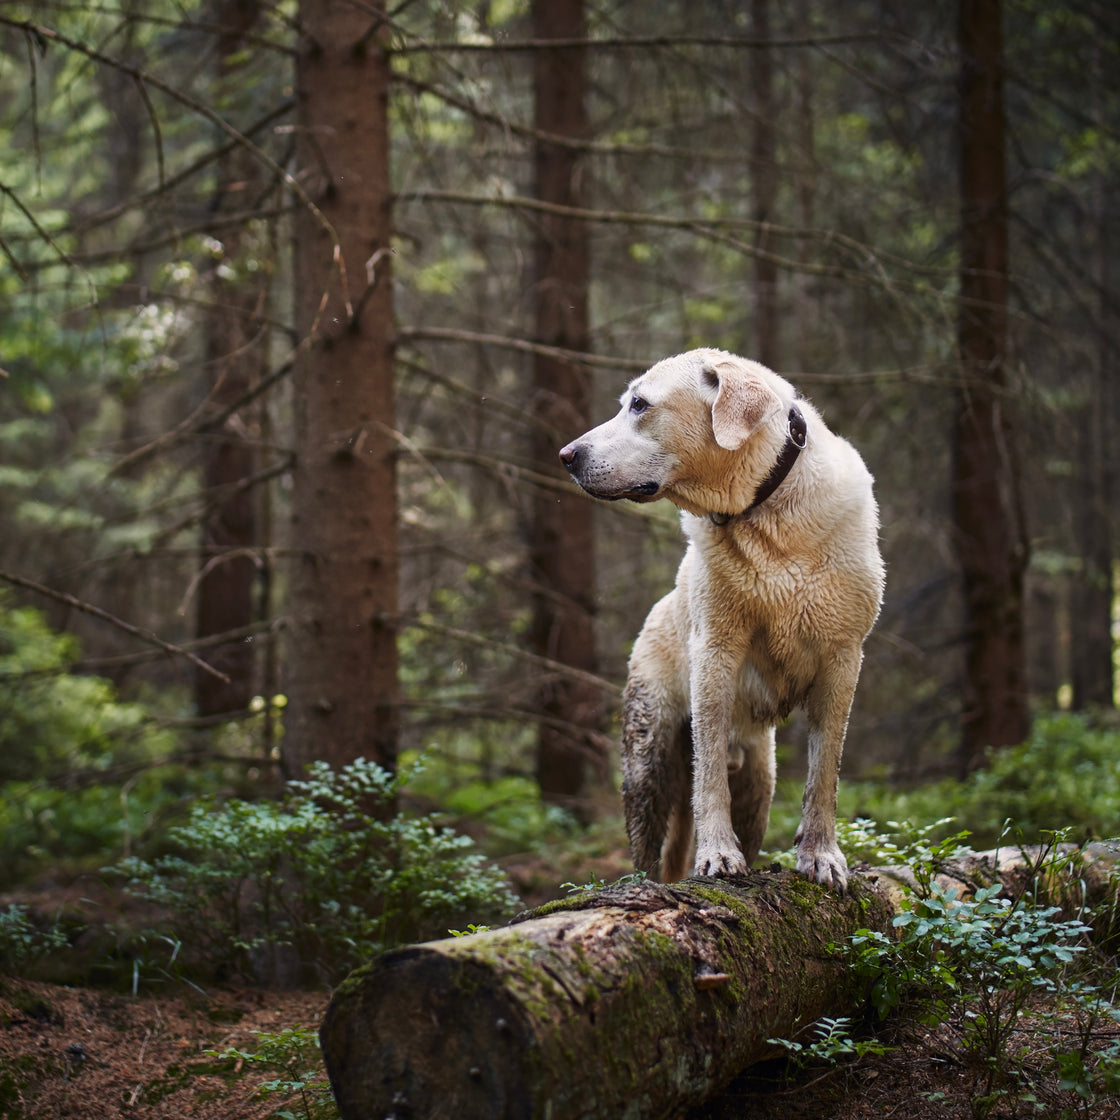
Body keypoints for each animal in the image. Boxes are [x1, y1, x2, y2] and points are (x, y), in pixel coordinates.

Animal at [560, 349, 882, 891]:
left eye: (640, 405)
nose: (566, 455)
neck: (767, 514)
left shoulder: (843, 658)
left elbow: (824, 773)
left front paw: (821, 856)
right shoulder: (715, 651)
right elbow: (708, 771)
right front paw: (716, 855)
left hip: (759, 780)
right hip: (648, 756)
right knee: (648, 850)